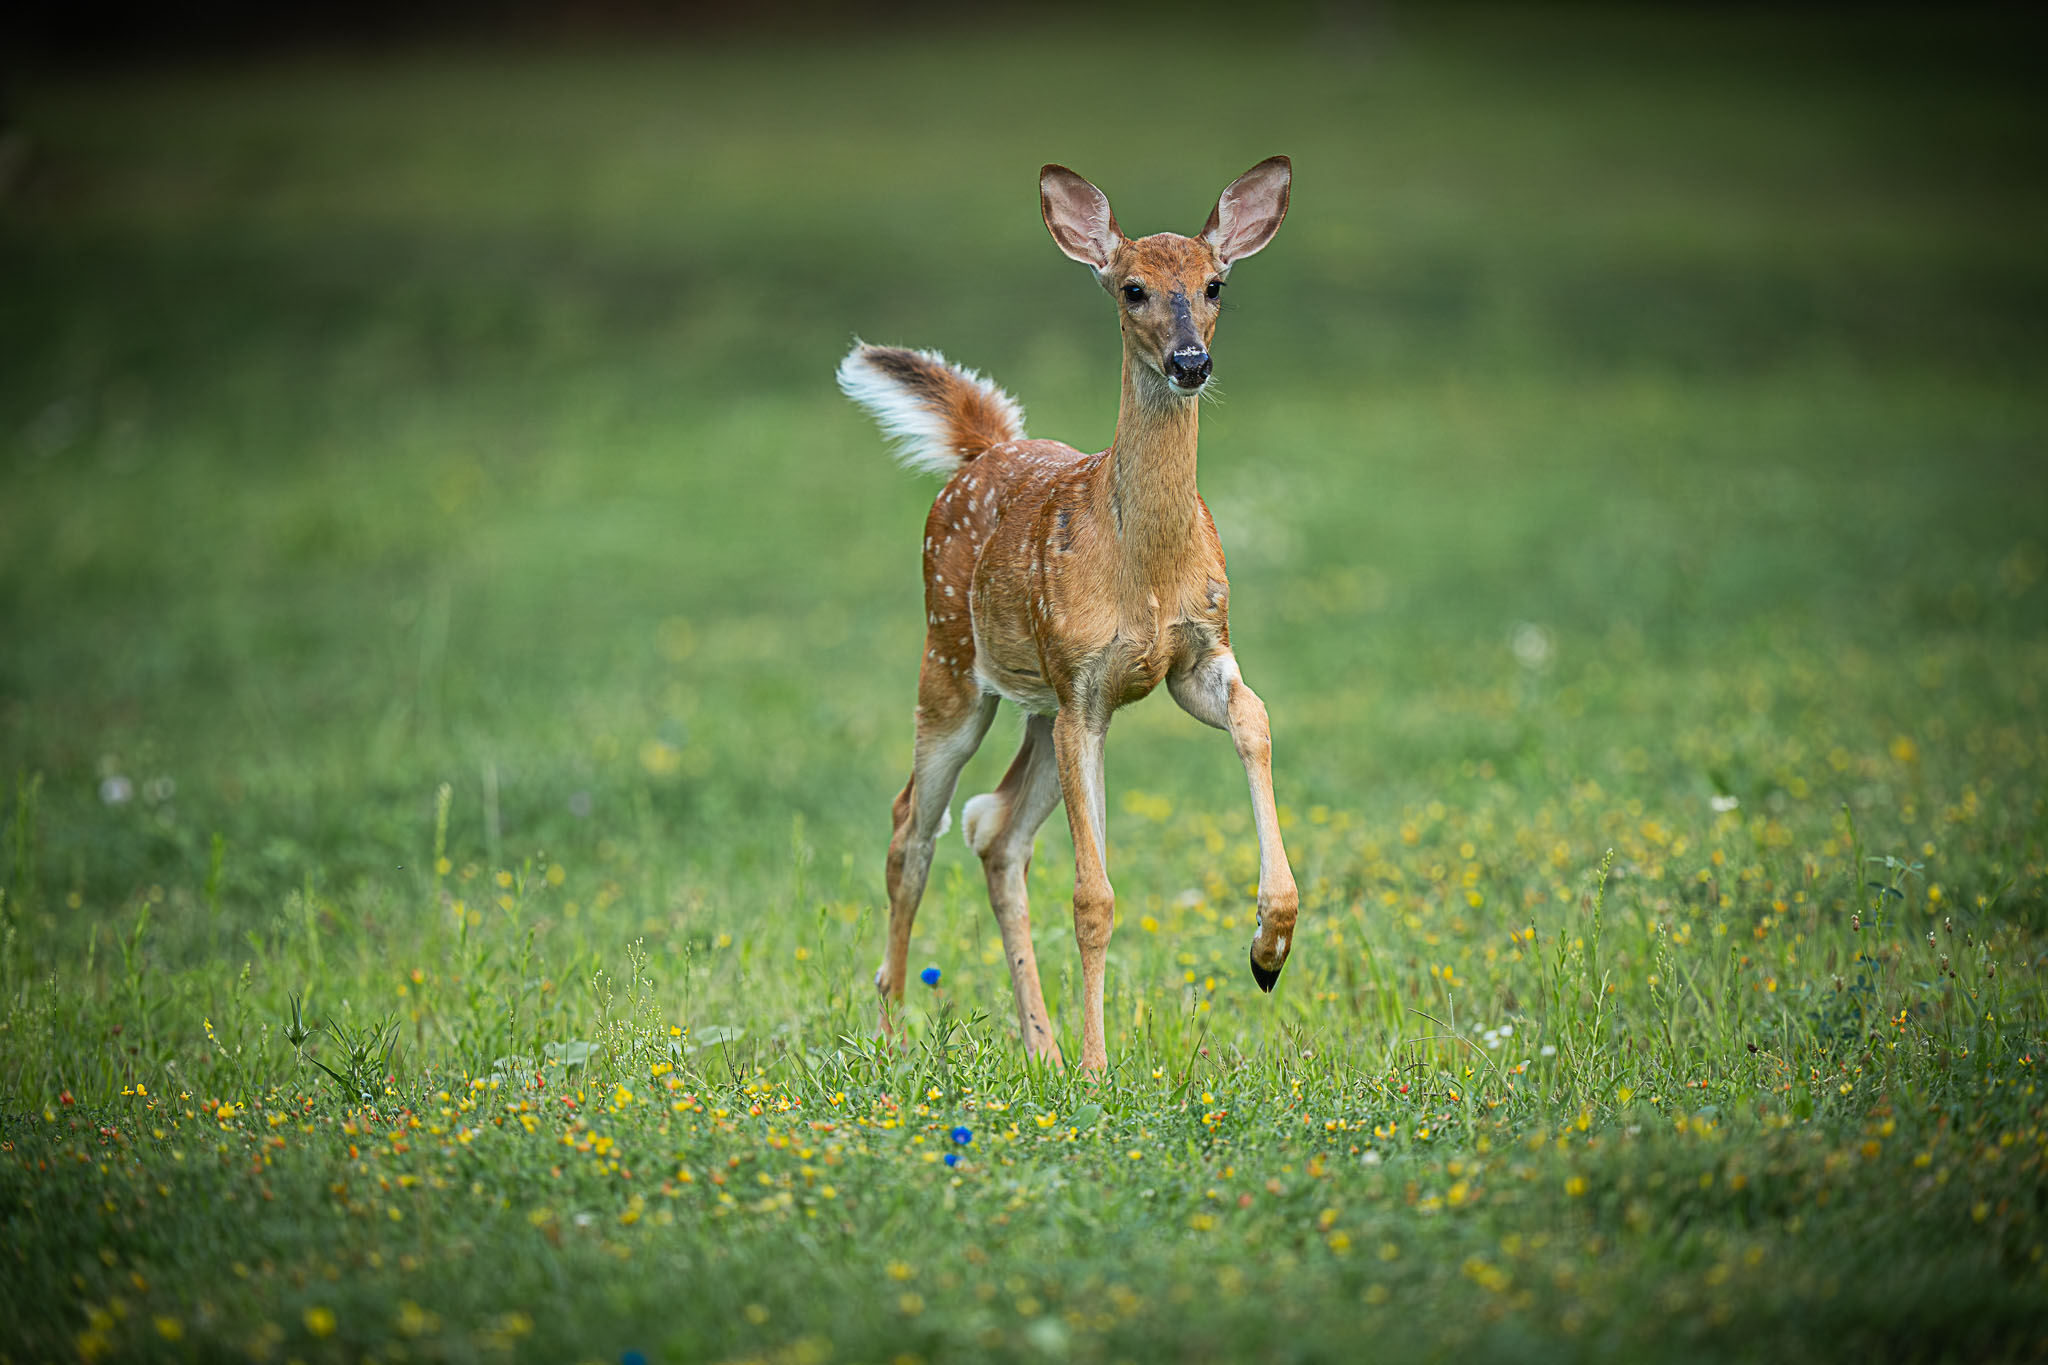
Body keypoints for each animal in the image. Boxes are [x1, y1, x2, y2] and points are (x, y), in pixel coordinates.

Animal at [836, 157, 1298, 1074]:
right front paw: (1097, 1066)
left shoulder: (1195, 658)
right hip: (952, 664)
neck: (1145, 569)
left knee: (994, 829)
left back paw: (1038, 1046)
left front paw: (1268, 947)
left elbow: (1257, 721)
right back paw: (894, 1030)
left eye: (1216, 284)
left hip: (1041, 710)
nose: (1191, 361)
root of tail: (986, 450)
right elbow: (1094, 895)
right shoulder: (1084, 680)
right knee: (913, 826)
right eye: (1132, 288)